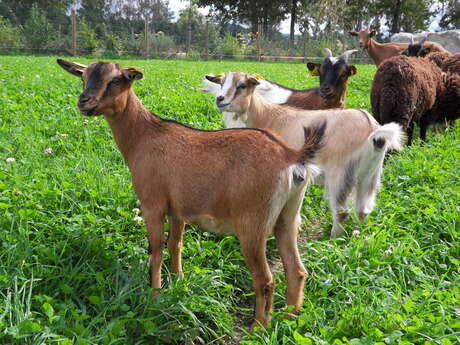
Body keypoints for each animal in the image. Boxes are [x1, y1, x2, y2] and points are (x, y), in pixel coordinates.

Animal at [55, 57, 326, 326]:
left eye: (115, 80)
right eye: (83, 77)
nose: (84, 102)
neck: (143, 136)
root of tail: (291, 155)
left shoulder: (152, 204)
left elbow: (156, 251)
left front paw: (155, 298)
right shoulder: (178, 210)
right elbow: (176, 245)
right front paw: (179, 283)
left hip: (252, 224)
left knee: (265, 280)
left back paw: (258, 328)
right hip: (288, 218)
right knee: (296, 270)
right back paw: (290, 319)